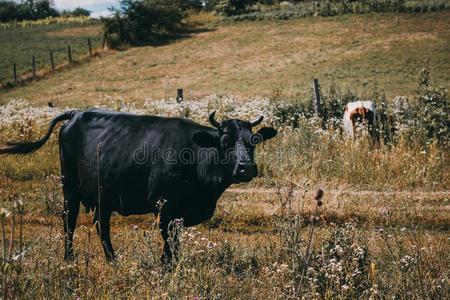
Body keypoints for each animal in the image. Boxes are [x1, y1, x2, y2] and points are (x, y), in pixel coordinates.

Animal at [0, 109, 276, 262]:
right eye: (225, 142)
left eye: (253, 141)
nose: (246, 168)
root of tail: (76, 113)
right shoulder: (163, 206)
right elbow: (169, 242)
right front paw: (168, 268)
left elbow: (175, 241)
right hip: (69, 185)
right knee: (69, 220)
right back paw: (69, 259)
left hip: (104, 194)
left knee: (102, 226)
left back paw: (113, 260)